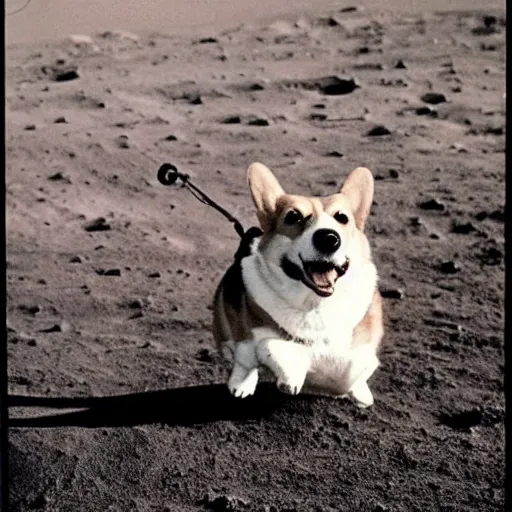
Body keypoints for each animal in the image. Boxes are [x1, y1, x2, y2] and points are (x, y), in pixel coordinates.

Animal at [212, 162, 384, 406]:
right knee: (243, 359)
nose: (328, 238)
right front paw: (289, 375)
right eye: (292, 216)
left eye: (342, 217)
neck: (315, 305)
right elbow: (272, 348)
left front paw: (358, 391)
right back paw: (241, 384)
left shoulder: (359, 351)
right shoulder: (256, 335)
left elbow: (352, 370)